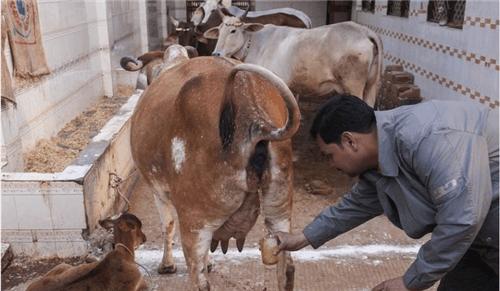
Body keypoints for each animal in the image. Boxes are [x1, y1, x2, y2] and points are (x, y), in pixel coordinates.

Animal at [130, 56, 300, 290]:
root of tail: (254, 118)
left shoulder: (159, 192)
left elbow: (167, 225)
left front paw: (167, 265)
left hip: (195, 221)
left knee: (199, 279)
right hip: (279, 210)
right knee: (287, 268)